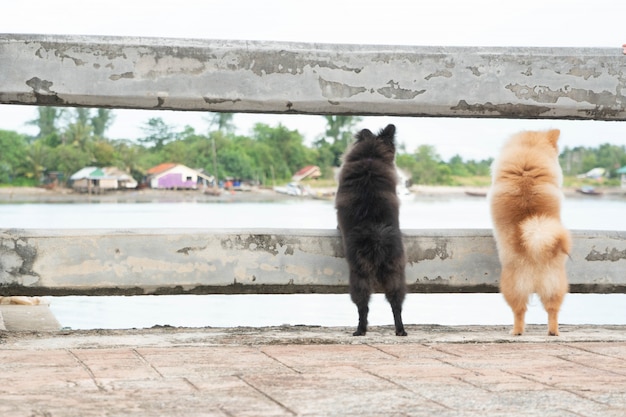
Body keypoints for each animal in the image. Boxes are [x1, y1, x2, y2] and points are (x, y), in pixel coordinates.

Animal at [334, 122, 408, 334]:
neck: (370, 156)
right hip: (395, 272)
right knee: (396, 304)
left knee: (363, 306)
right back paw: (400, 330)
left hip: (359, 275)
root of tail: (377, 238)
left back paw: (360, 330)